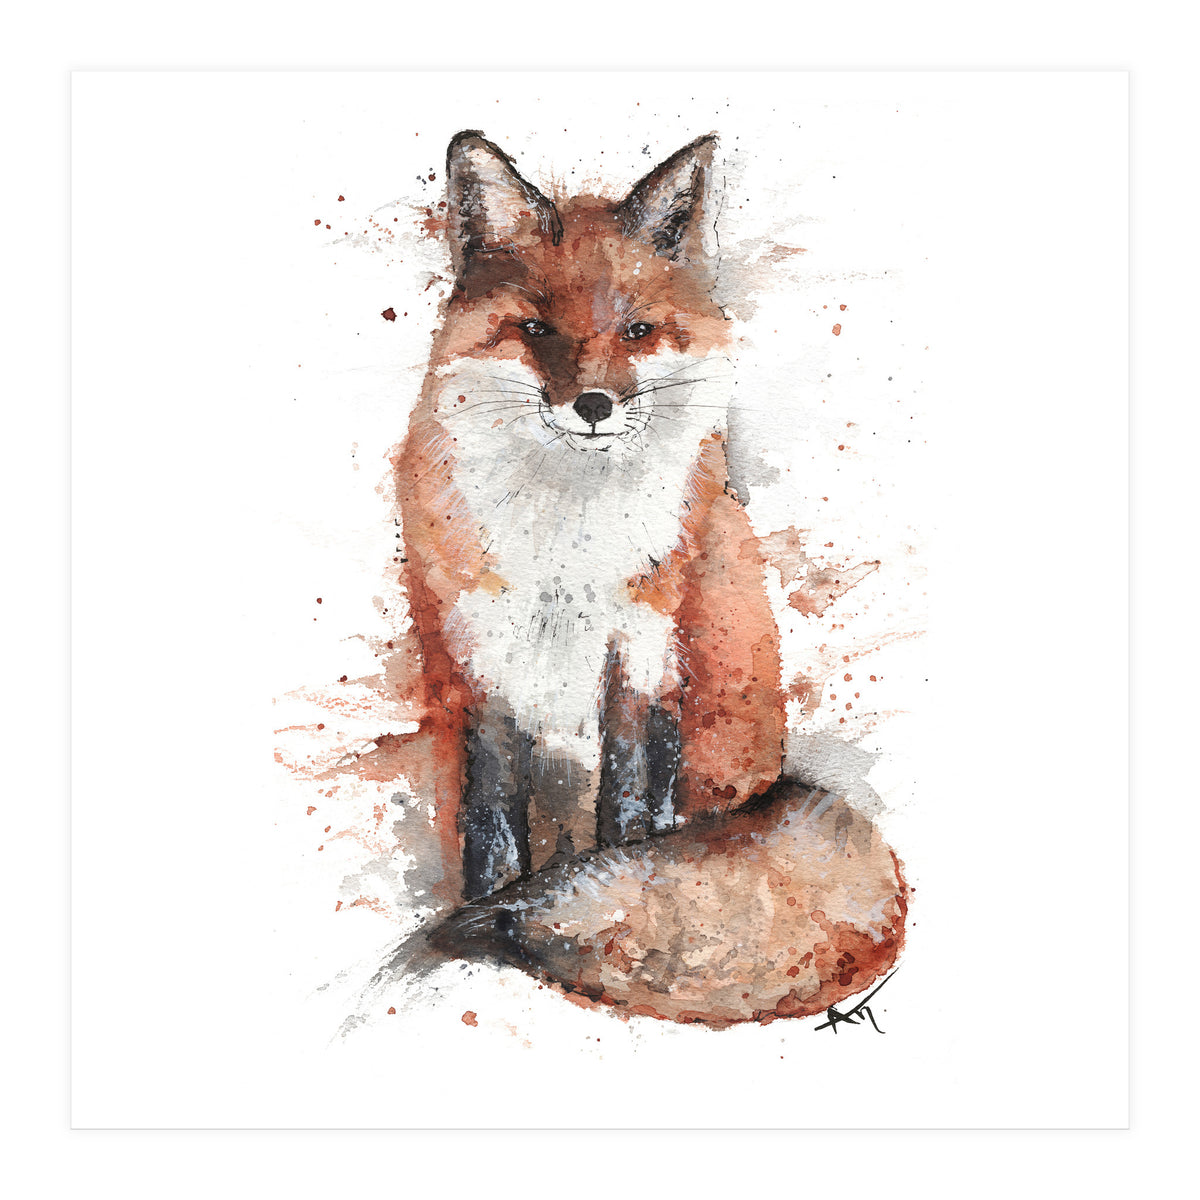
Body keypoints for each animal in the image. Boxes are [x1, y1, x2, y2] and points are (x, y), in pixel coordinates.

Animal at [384, 131, 907, 1027]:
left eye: (635, 330)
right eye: (533, 328)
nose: (593, 403)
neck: (568, 544)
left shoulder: (647, 643)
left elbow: (631, 807)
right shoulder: (483, 657)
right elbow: (491, 815)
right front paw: (486, 904)